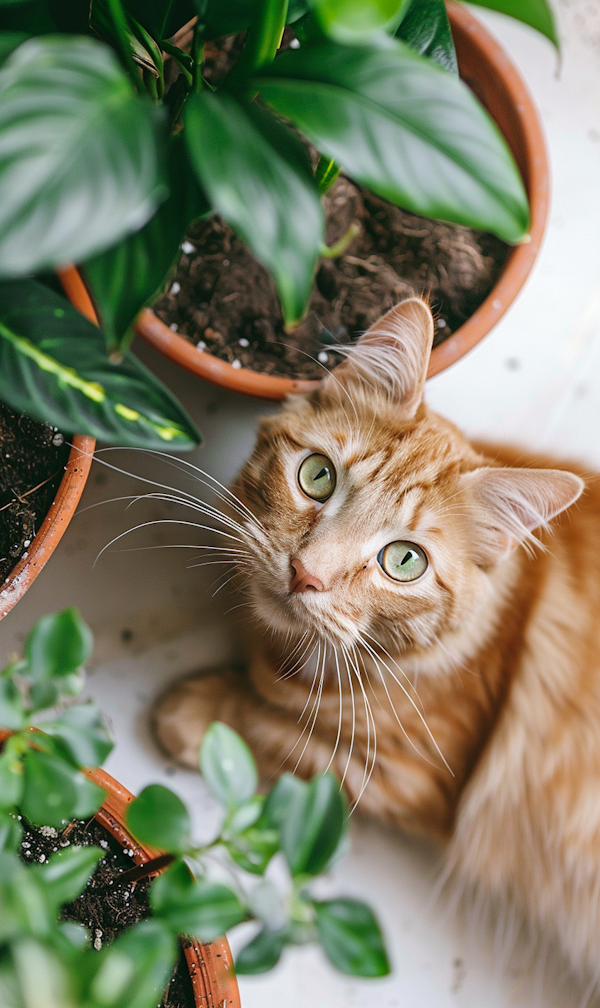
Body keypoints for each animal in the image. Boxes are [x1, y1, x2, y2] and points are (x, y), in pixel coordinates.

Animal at [151, 296, 600, 983]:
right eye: (317, 477)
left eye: (404, 561)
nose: (305, 574)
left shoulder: (410, 776)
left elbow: (275, 729)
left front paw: (195, 715)